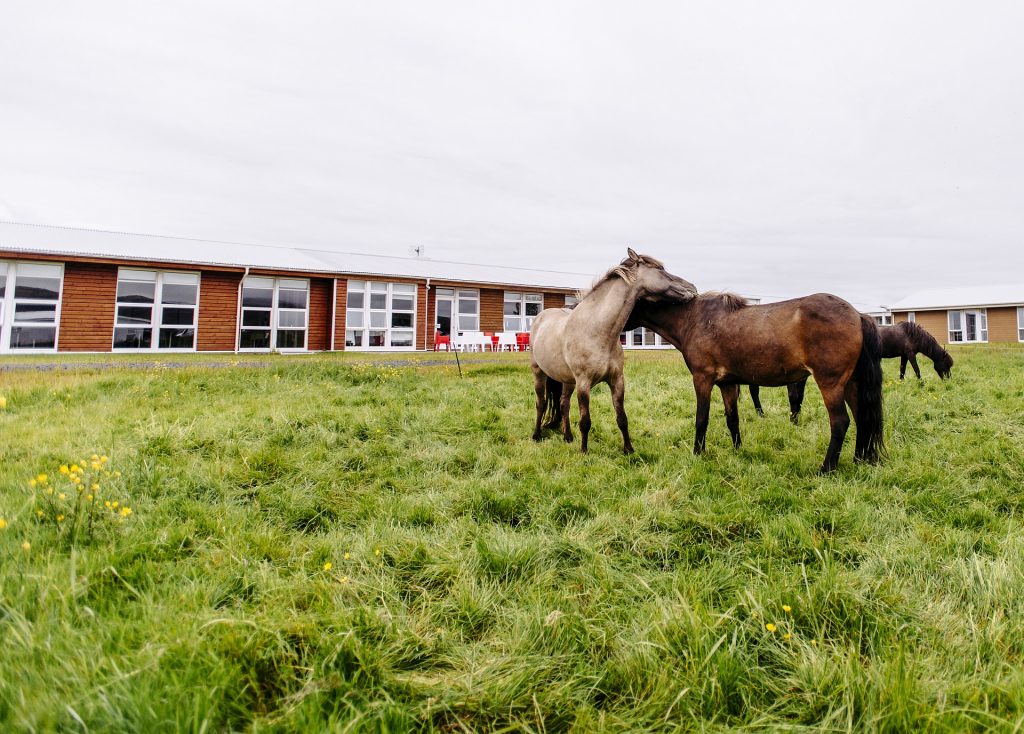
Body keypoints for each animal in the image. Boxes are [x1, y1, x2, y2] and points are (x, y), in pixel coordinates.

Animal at [532, 248, 700, 452]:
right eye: (660, 270)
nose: (692, 287)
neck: (597, 331)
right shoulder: (584, 384)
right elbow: (585, 421)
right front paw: (584, 451)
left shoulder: (617, 381)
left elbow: (622, 418)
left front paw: (629, 450)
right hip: (539, 373)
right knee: (540, 403)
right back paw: (536, 435)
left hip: (567, 380)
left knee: (564, 404)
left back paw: (568, 437)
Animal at [626, 288, 884, 472]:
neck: (694, 319)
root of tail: (858, 315)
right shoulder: (728, 383)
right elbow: (732, 420)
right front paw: (738, 451)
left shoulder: (702, 379)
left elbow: (701, 420)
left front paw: (697, 454)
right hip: (851, 384)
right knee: (862, 418)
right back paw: (860, 459)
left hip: (830, 384)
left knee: (840, 422)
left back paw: (826, 468)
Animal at [745, 317, 950, 421]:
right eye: (946, 365)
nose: (947, 380)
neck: (910, 334)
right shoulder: (910, 354)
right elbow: (916, 369)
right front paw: (920, 383)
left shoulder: (904, 355)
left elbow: (902, 370)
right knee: (754, 390)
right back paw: (760, 414)